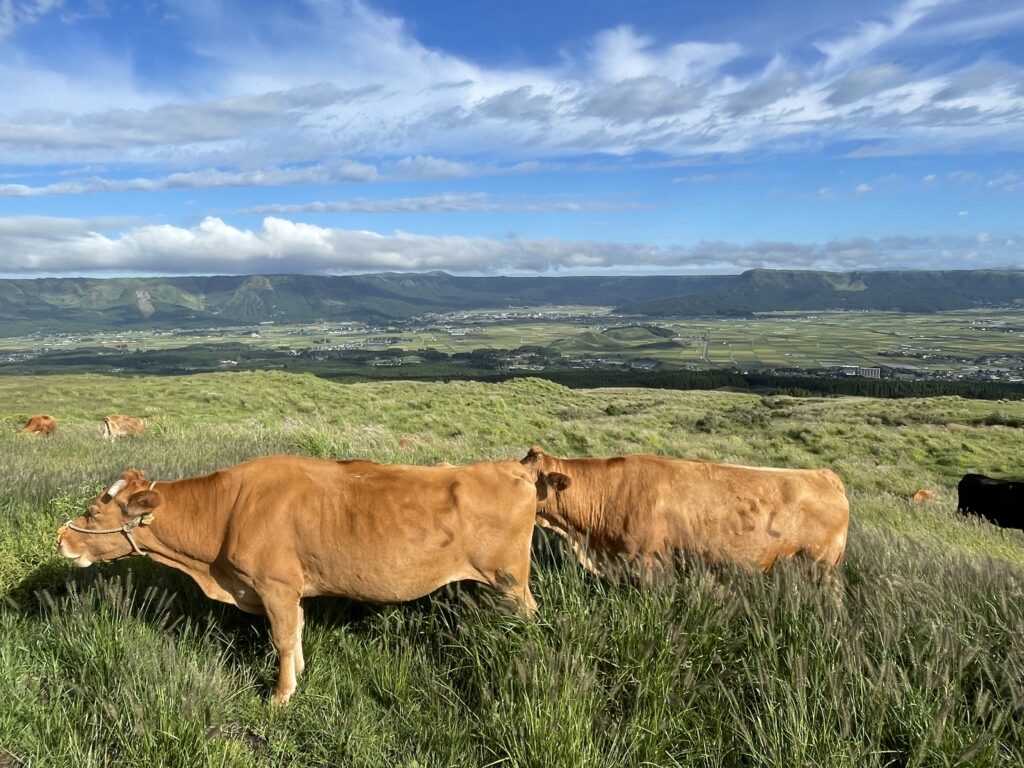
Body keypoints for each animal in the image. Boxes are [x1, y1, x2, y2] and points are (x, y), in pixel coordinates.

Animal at [58, 454, 544, 708]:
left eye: (94, 511)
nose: (62, 538)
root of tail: (510, 467)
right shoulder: (290, 589)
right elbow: (299, 630)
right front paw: (301, 672)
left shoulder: (274, 585)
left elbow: (282, 638)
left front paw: (281, 693)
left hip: (511, 580)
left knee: (531, 616)